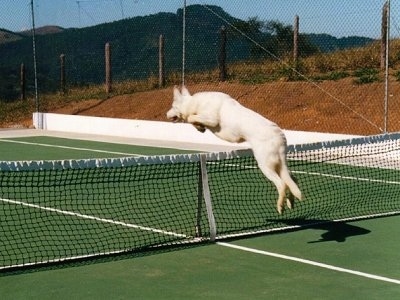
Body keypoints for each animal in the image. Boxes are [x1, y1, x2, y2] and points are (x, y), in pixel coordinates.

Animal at [166, 85, 304, 214]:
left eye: (173, 106)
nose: (166, 114)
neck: (193, 102)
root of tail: (279, 136)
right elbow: (193, 120)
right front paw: (199, 127)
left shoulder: (212, 119)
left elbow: (191, 118)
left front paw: (198, 125)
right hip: (279, 165)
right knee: (293, 180)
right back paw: (290, 201)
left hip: (265, 166)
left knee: (282, 184)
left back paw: (280, 205)